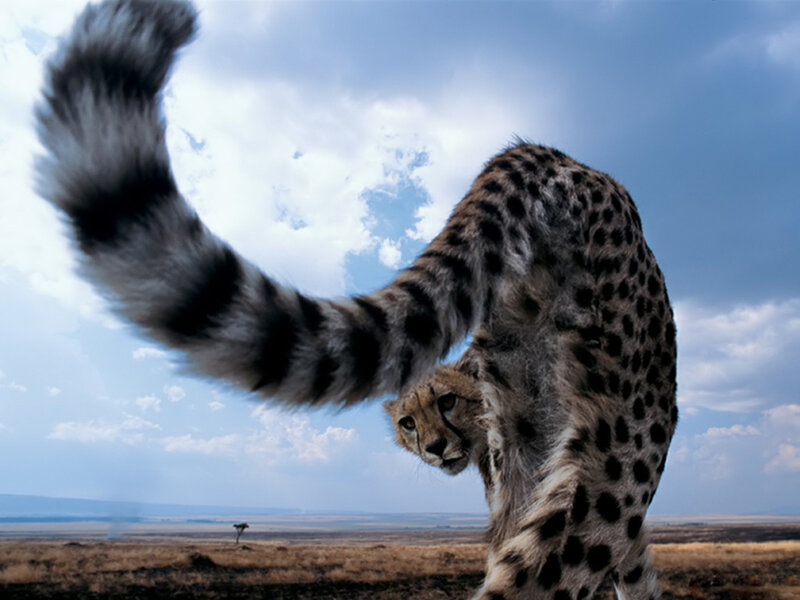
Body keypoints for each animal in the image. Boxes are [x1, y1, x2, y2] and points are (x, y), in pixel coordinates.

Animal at [35, 1, 678, 599]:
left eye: (446, 402)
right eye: (408, 424)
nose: (435, 449)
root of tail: (542, 152)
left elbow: (630, 569)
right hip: (620, 448)